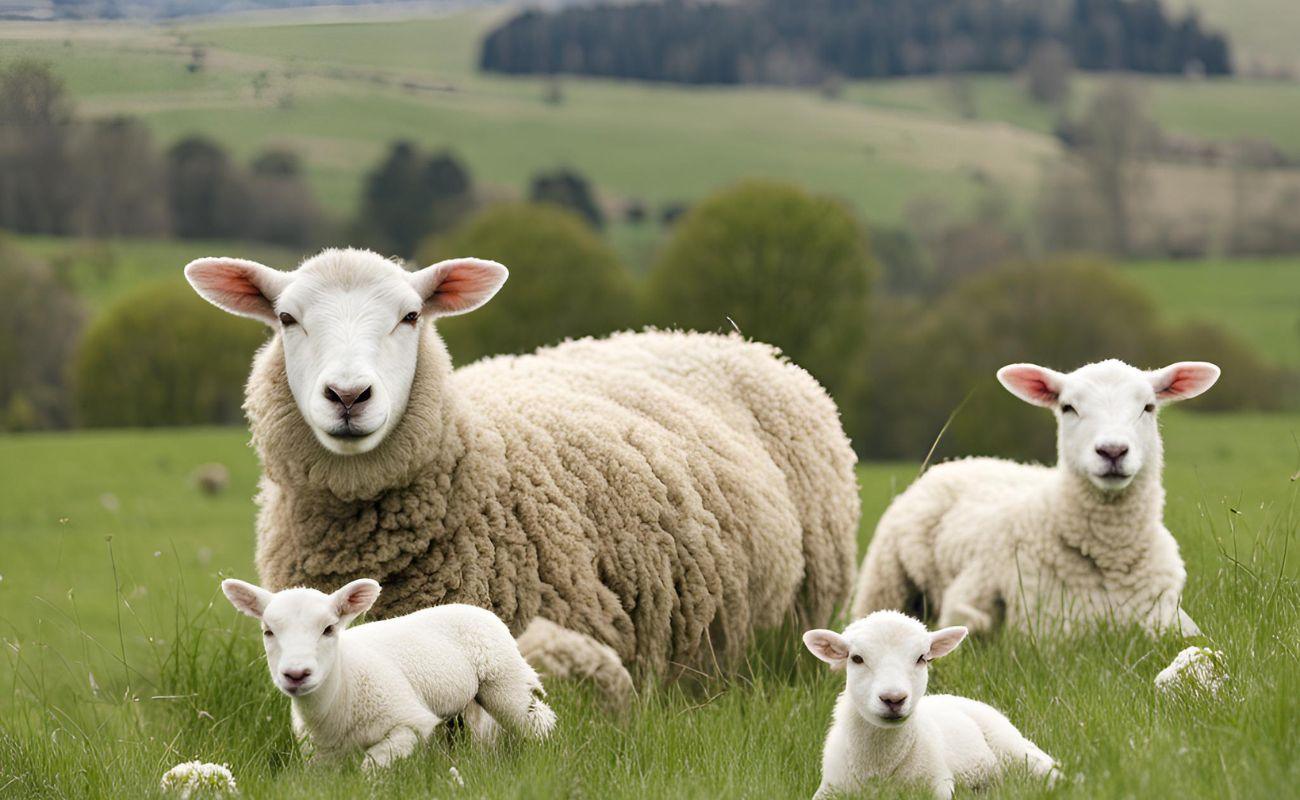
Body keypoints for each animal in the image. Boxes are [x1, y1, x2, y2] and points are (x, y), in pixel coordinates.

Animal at [221, 577, 556, 770]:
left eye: (329, 629)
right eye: (268, 631)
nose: (296, 674)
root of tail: (474, 608)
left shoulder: (411, 724)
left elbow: (371, 767)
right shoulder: (320, 757)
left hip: (505, 681)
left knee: (537, 721)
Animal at [804, 611, 1058, 799]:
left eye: (921, 658)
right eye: (856, 658)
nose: (893, 699)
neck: (878, 768)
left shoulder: (939, 785)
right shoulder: (829, 789)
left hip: (1010, 746)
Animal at [852, 359, 1219, 636]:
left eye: (1148, 407)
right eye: (1068, 407)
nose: (1112, 451)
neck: (1110, 557)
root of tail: (961, 461)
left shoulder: (1169, 622)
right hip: (883, 583)